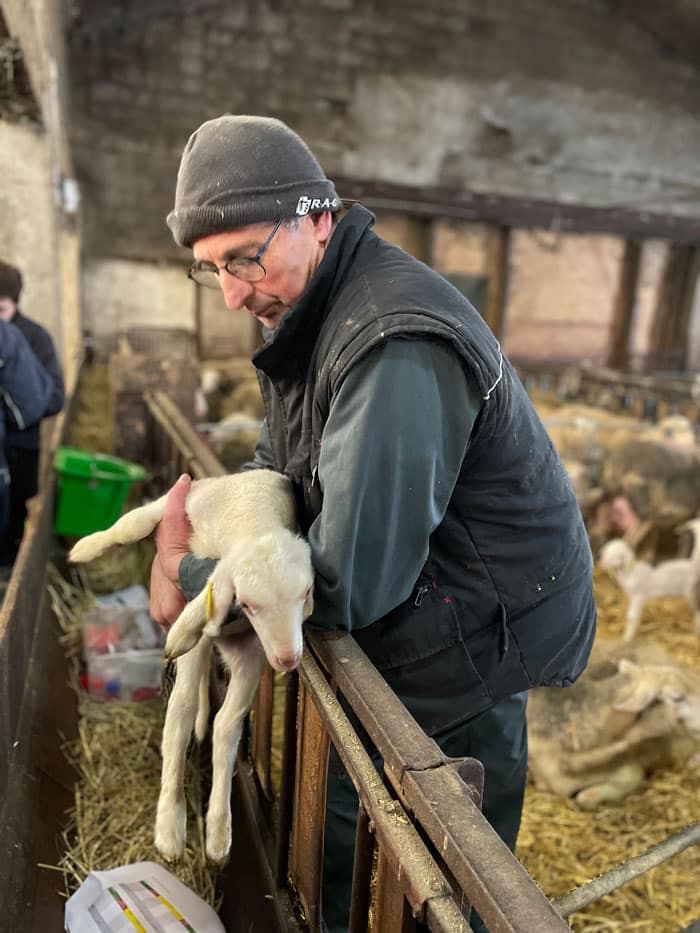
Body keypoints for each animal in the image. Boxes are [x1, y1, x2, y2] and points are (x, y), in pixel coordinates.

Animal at [69, 468, 314, 863]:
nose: (287, 659)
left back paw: (215, 832)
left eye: (306, 592)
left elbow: (211, 581)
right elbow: (130, 525)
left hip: (250, 655)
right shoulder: (178, 501)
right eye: (247, 604)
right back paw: (173, 826)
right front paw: (86, 548)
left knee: (224, 725)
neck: (252, 513)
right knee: (183, 710)